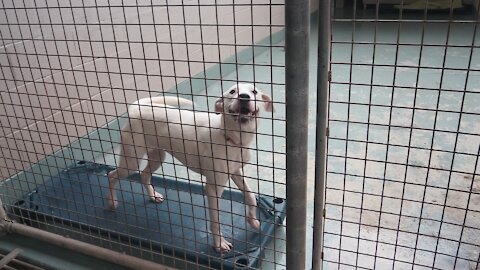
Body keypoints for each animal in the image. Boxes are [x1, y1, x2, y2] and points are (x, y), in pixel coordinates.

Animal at [108, 83, 274, 253]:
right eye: (233, 91)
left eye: (254, 91)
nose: (244, 97)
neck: (231, 138)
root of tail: (138, 107)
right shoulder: (213, 188)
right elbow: (215, 221)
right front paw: (219, 244)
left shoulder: (236, 172)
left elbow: (251, 196)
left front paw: (252, 220)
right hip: (131, 161)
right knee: (111, 175)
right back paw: (112, 202)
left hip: (157, 157)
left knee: (144, 175)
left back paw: (153, 195)